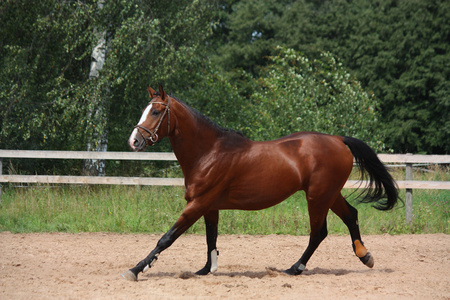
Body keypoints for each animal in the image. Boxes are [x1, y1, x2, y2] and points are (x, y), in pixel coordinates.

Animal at [121, 84, 400, 282]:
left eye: (156, 111)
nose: (134, 141)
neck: (209, 152)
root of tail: (338, 139)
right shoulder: (209, 206)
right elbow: (211, 238)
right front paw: (206, 269)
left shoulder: (198, 203)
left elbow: (167, 238)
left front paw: (135, 270)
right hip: (330, 194)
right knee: (350, 215)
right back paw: (365, 256)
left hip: (318, 196)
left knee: (319, 232)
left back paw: (294, 268)